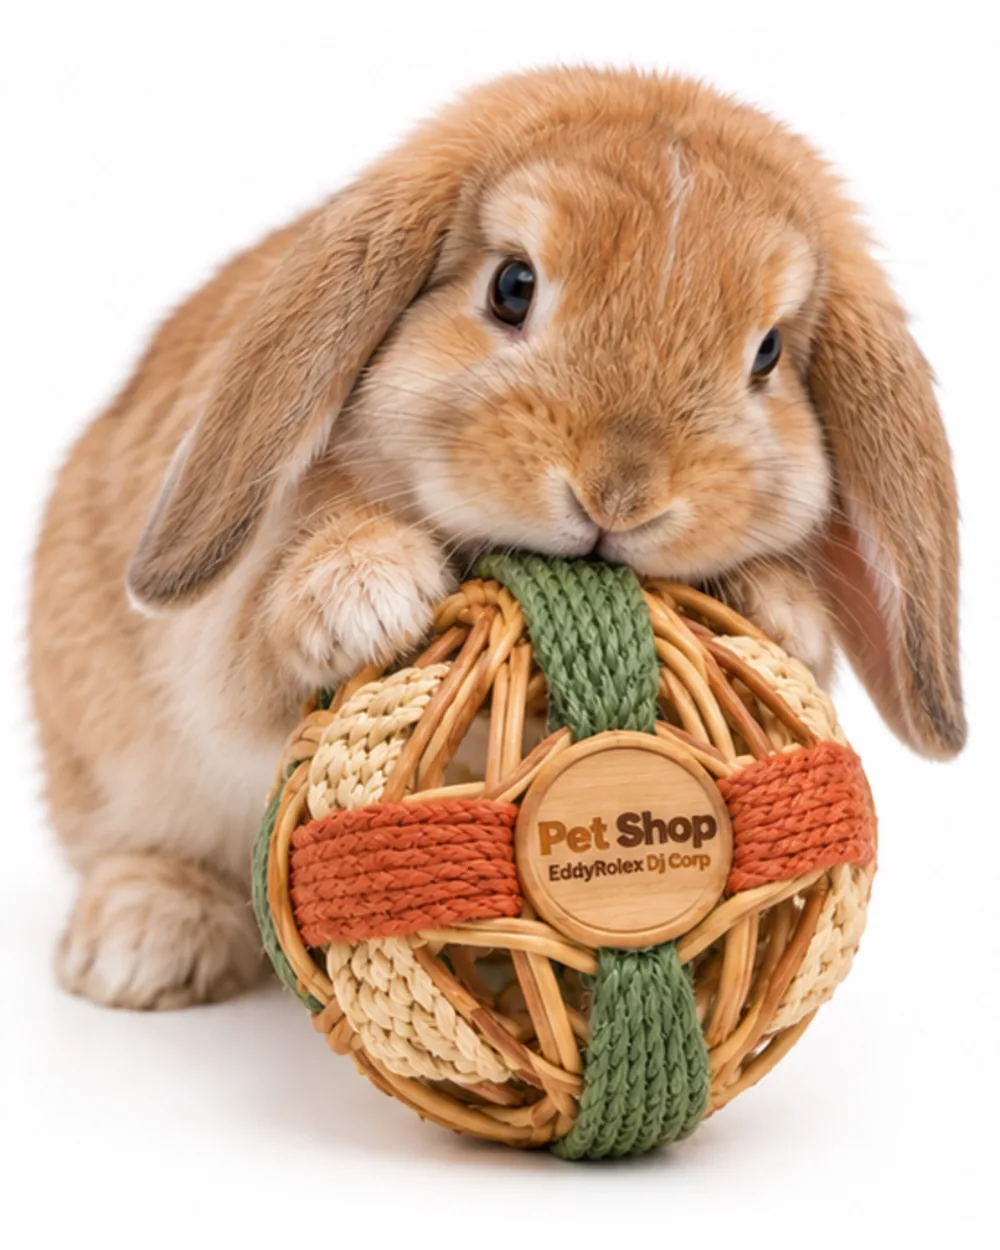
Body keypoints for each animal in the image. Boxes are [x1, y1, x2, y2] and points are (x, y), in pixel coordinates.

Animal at [29, 66, 964, 1011]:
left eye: (768, 353)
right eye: (512, 286)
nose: (619, 496)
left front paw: (775, 614)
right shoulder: (226, 654)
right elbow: (268, 639)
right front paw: (365, 595)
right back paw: (145, 947)